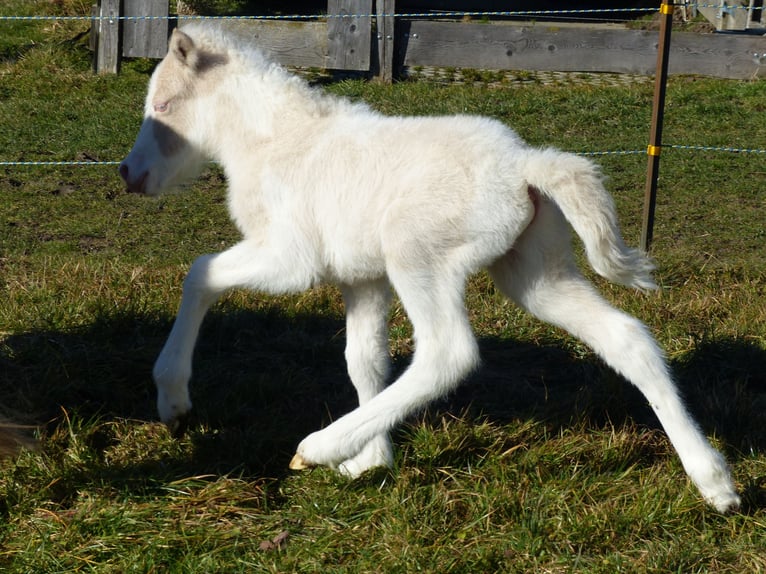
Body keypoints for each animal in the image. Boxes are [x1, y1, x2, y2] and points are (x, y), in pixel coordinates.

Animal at [119, 23, 740, 512]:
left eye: (164, 108)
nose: (129, 174)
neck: (277, 141)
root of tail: (525, 164)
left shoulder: (292, 257)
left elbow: (200, 274)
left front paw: (174, 401)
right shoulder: (361, 276)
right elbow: (364, 360)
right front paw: (373, 462)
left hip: (418, 254)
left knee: (448, 352)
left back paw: (317, 446)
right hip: (533, 271)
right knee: (627, 337)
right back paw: (715, 482)